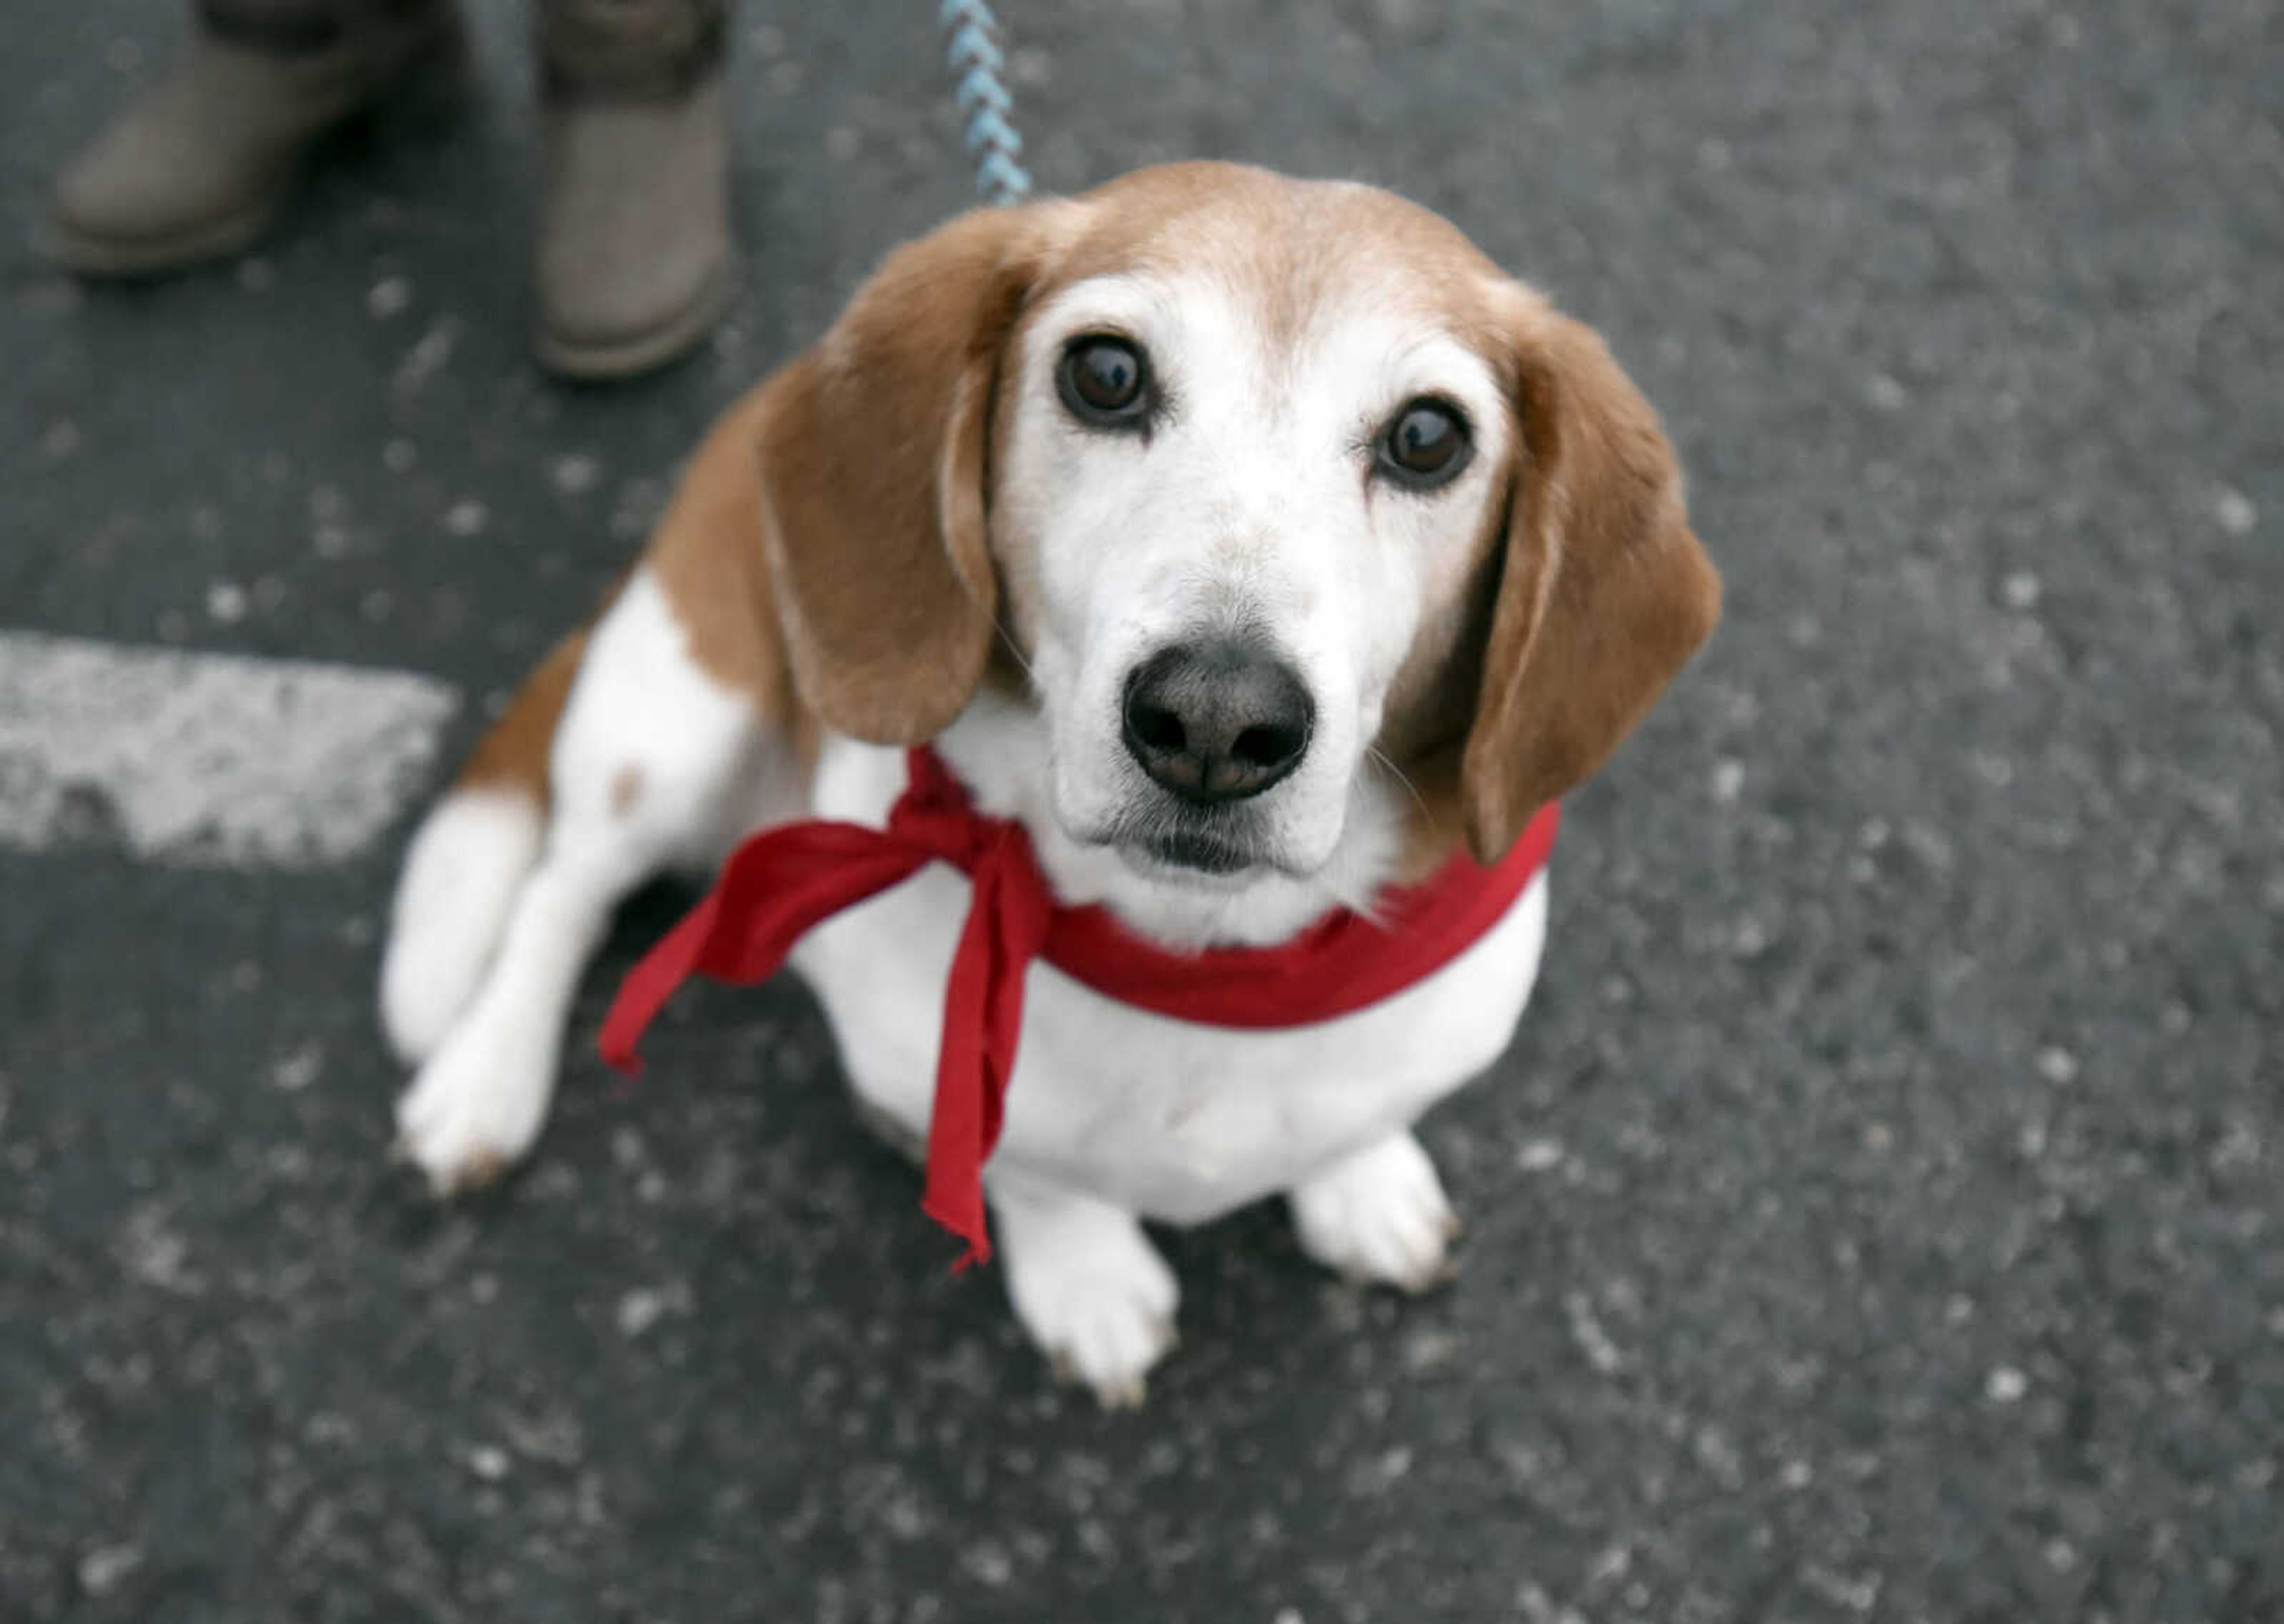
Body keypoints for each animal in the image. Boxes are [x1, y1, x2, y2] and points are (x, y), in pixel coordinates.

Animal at [379, 168, 1717, 1407]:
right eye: (1107, 375)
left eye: (1429, 438)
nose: (1216, 720)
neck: (1199, 962)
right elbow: (1034, 1171)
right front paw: (1087, 1279)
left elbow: (1360, 1116)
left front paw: (1362, 1183)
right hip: (670, 722)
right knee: (564, 888)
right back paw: (484, 1080)